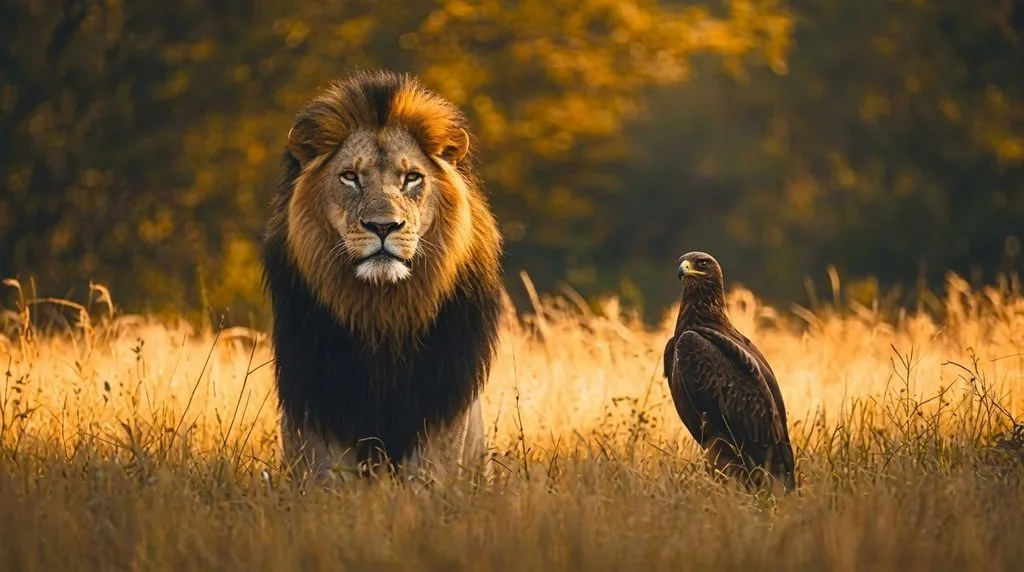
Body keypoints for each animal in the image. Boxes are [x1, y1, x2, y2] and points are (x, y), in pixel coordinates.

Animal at [259, 69, 504, 486]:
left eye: (412, 178)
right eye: (350, 177)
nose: (383, 226)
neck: (382, 312)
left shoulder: (441, 406)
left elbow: (429, 479)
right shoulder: (315, 403)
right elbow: (327, 480)